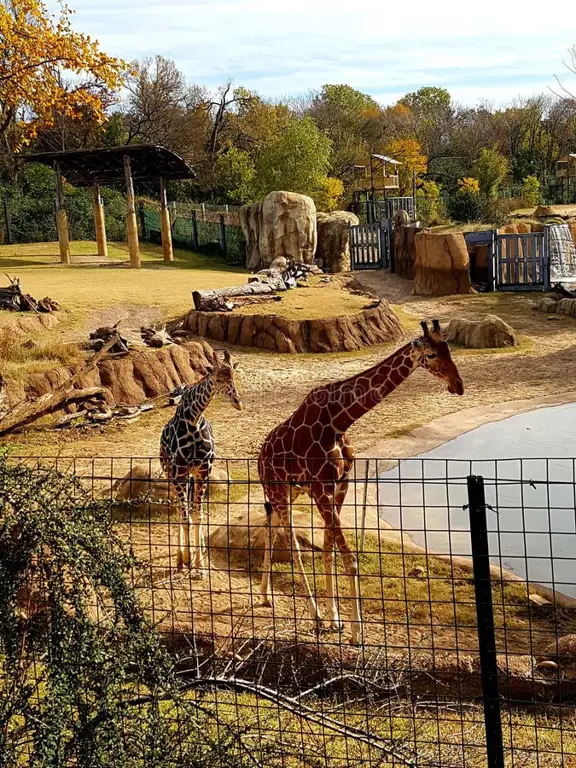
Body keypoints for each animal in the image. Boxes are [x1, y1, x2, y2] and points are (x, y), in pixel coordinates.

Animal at [160, 348, 243, 576]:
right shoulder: (179, 470)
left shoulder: (203, 470)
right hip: (170, 474)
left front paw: (200, 565)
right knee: (178, 511)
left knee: (188, 509)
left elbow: (198, 515)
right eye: (219, 377)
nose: (238, 402)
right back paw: (179, 559)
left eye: (234, 375)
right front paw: (187, 560)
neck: (193, 419)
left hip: (189, 476)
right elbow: (186, 517)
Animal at [258, 320, 466, 644]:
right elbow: (349, 558)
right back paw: (314, 616)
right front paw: (355, 631)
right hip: (277, 491)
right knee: (293, 548)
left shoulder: (339, 484)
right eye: (431, 355)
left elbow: (329, 549)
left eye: (448, 349)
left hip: (288, 494)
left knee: (270, 529)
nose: (458, 385)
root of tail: (259, 457)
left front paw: (337, 619)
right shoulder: (320, 487)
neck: (338, 421)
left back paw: (266, 596)